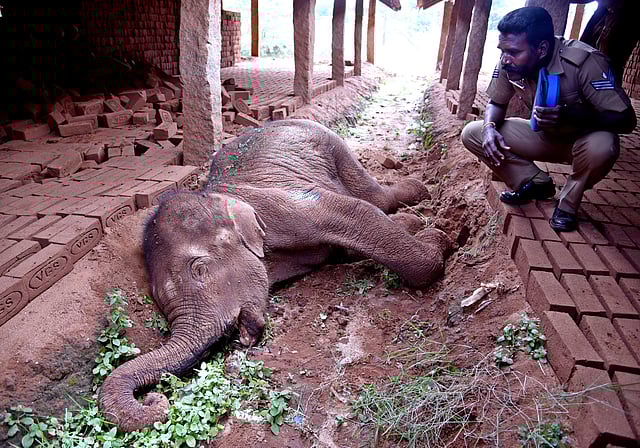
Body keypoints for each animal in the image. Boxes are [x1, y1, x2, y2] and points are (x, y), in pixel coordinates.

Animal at [99, 119, 452, 432]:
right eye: (156, 298)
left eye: (199, 269)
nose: (155, 400)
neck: (217, 196)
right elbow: (344, 247)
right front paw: (415, 226)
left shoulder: (286, 207)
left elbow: (356, 213)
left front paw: (437, 238)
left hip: (330, 143)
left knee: (374, 196)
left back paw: (420, 193)